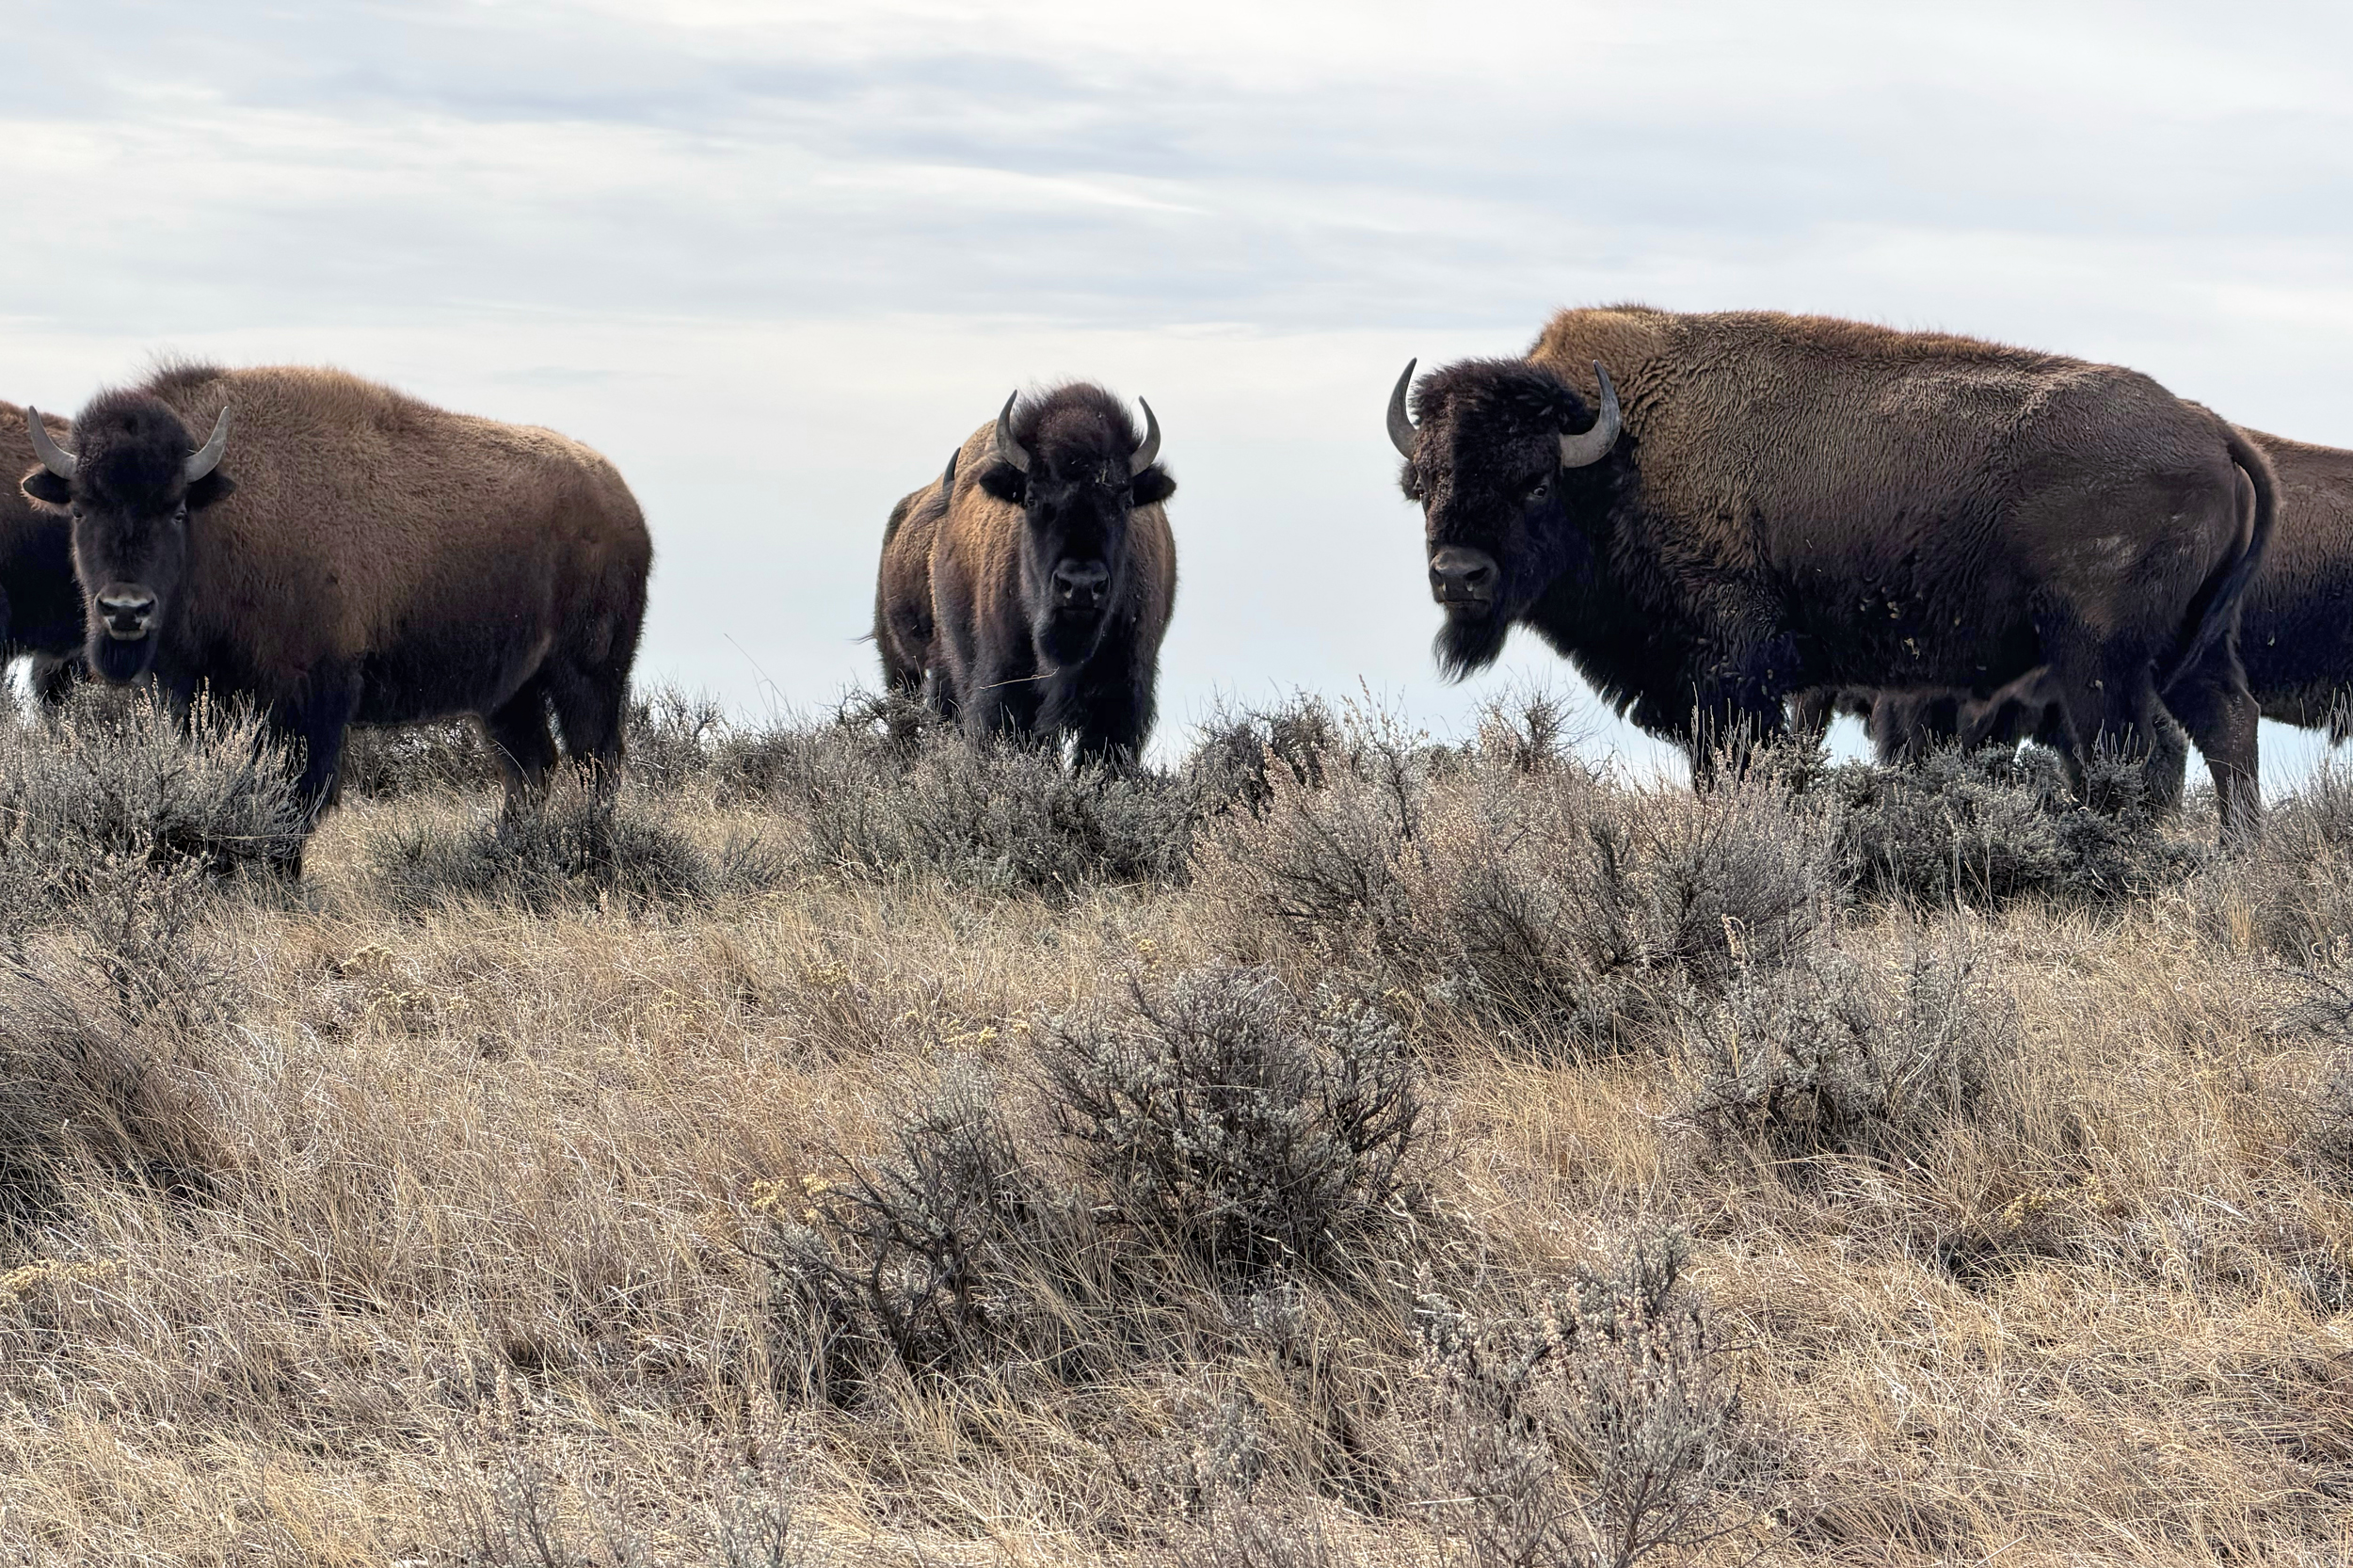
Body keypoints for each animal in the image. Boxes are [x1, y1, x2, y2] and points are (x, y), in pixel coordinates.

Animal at [21, 364, 653, 844]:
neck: (222, 513)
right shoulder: (208, 699)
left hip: (589, 675)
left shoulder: (310, 697)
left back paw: (590, 842)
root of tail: (623, 502)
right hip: (508, 694)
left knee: (595, 760)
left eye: (175, 510)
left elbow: (297, 797)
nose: (125, 610)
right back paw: (506, 848)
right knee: (532, 767)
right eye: (80, 509)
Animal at [875, 384, 1176, 767]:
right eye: (1032, 499)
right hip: (903, 663)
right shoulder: (1002, 684)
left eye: (1123, 503)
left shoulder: (1123, 692)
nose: (1081, 585)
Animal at [1388, 306, 2275, 832]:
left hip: (2099, 658)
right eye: (1423, 484)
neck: (1619, 457)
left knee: (2136, 755)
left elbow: (1738, 767)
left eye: (1535, 482)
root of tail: (2213, 430)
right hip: (2185, 652)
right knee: (2225, 727)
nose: (1458, 575)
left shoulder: (1734, 675)